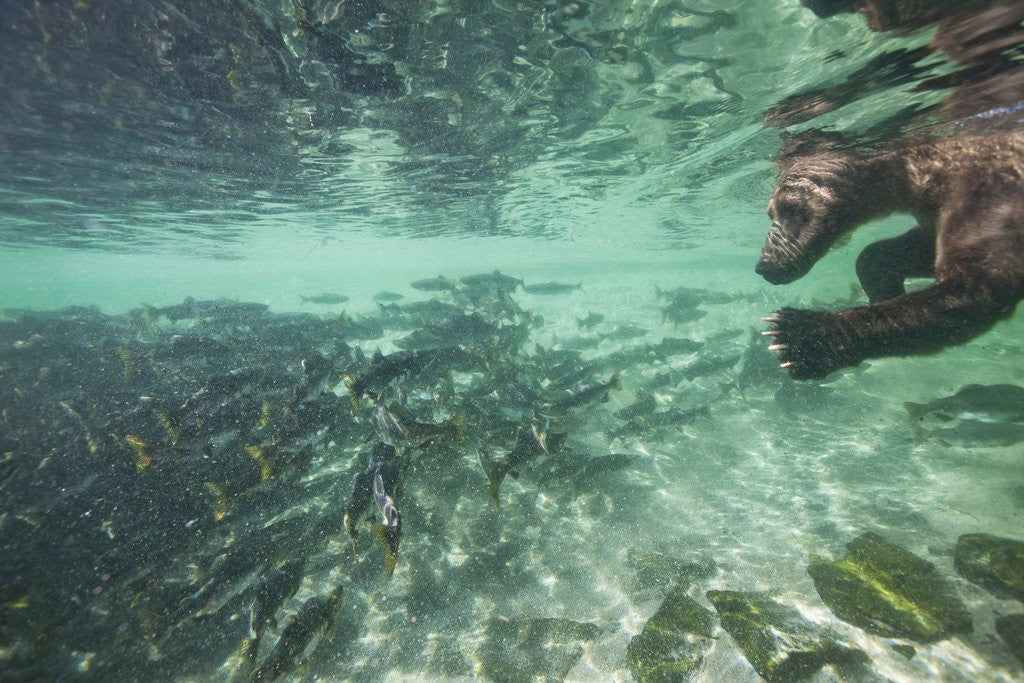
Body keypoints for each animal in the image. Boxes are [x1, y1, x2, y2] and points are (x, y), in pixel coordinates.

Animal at [756, 130, 1024, 380]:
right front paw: (884, 290)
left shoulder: (986, 190)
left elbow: (976, 280)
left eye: (789, 208)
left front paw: (800, 337)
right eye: (770, 213)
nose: (764, 266)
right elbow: (910, 251)